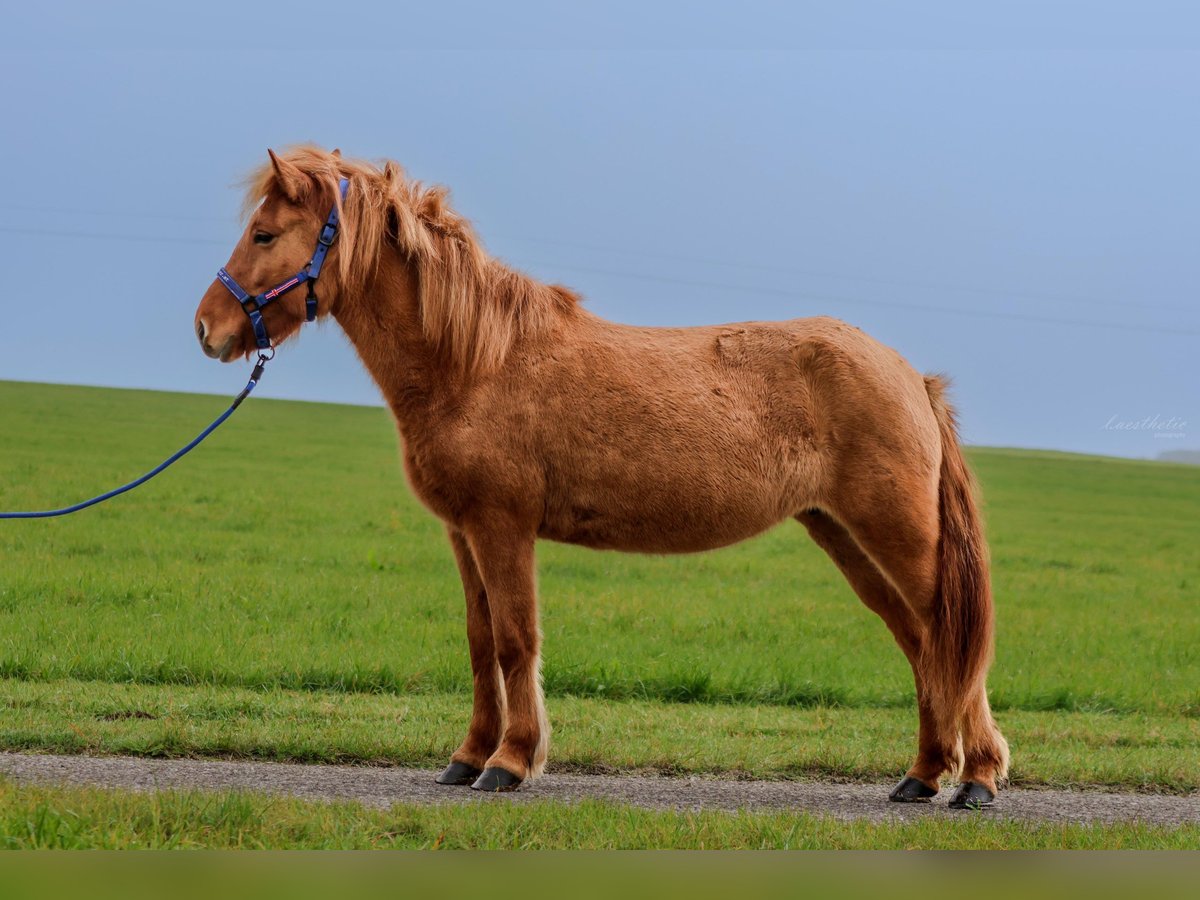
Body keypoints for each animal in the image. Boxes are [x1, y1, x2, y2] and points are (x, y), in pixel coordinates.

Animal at [192, 148, 1008, 811]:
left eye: (265, 234)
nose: (208, 329)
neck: (475, 362)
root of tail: (909, 374)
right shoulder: (463, 532)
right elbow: (479, 642)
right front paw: (468, 757)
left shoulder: (503, 526)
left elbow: (516, 640)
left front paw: (510, 762)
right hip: (844, 536)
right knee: (923, 643)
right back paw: (923, 775)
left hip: (899, 534)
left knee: (951, 641)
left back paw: (976, 778)